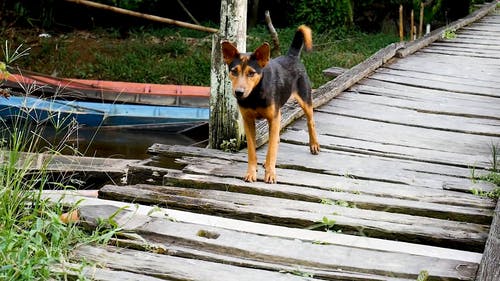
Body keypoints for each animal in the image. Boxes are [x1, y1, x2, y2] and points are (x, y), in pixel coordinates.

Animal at [222, 25, 320, 183]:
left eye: (251, 73)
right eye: (234, 71)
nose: (239, 93)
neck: (254, 95)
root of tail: (291, 56)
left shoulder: (273, 117)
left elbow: (272, 150)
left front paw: (270, 174)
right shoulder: (248, 120)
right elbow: (252, 150)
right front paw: (251, 172)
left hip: (305, 99)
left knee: (310, 122)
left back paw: (314, 145)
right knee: (277, 138)